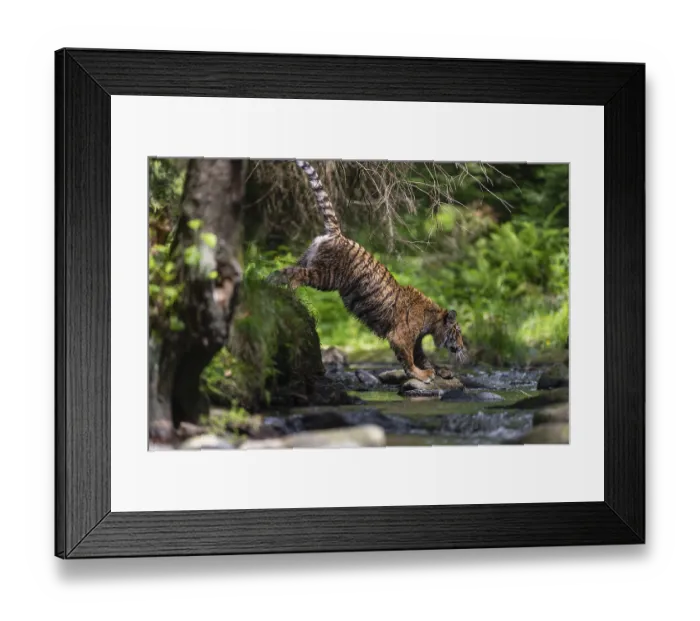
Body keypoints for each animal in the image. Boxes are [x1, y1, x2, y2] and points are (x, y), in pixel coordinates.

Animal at [270, 160, 467, 383]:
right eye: (457, 332)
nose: (462, 348)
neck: (432, 322)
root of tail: (337, 234)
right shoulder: (402, 337)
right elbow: (409, 359)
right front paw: (422, 375)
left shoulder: (416, 341)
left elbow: (423, 357)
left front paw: (439, 370)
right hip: (326, 277)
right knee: (296, 274)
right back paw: (292, 294)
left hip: (308, 261)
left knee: (284, 270)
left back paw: (268, 283)